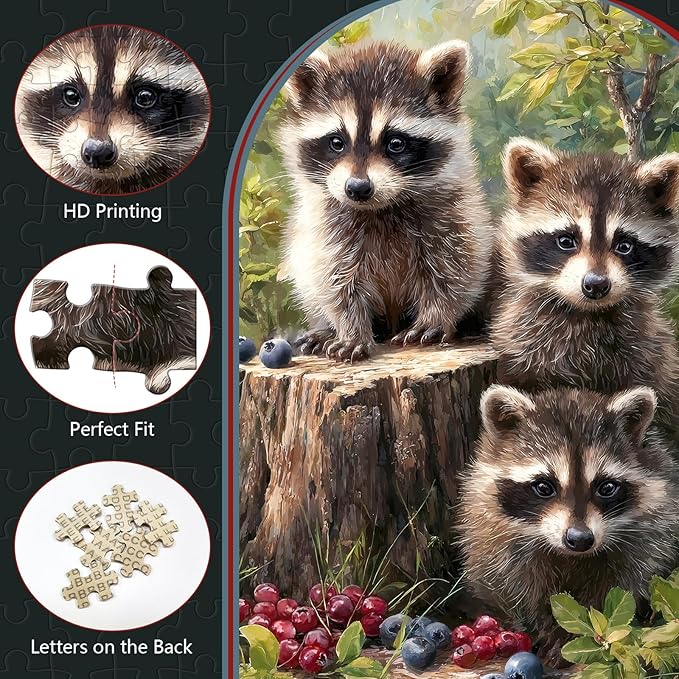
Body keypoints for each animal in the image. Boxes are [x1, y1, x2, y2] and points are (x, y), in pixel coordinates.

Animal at [278, 41, 492, 362]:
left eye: (396, 143)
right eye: (337, 142)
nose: (357, 188)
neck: (379, 208)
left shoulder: (453, 214)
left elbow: (454, 270)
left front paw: (435, 316)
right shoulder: (328, 227)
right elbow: (335, 280)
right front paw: (351, 329)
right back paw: (326, 329)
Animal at [458, 385, 679, 665]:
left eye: (606, 487)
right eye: (544, 486)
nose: (580, 538)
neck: (569, 556)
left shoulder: (648, 532)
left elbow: (625, 581)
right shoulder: (494, 537)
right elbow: (511, 586)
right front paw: (540, 628)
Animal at [492, 139, 679, 436]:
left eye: (624, 245)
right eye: (566, 240)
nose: (596, 285)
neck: (587, 313)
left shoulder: (649, 354)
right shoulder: (524, 344)